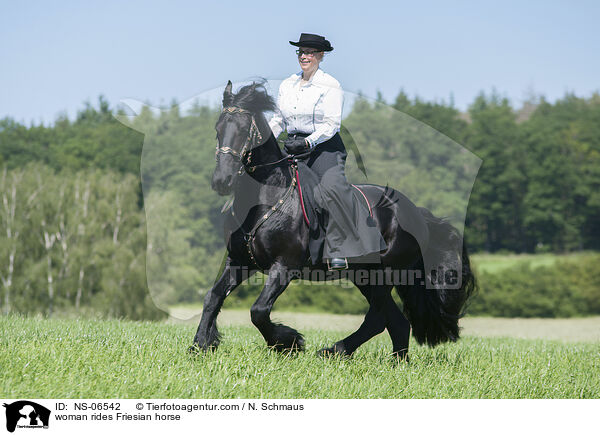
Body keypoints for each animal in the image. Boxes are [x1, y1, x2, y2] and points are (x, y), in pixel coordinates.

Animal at [191, 82, 474, 362]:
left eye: (243, 130)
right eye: (218, 129)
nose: (222, 180)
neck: (265, 197)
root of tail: (415, 212)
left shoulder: (284, 265)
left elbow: (258, 310)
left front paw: (288, 342)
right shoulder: (239, 261)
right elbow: (212, 298)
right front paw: (199, 346)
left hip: (386, 273)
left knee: (379, 319)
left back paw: (335, 351)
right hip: (364, 275)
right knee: (394, 322)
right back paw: (391, 361)